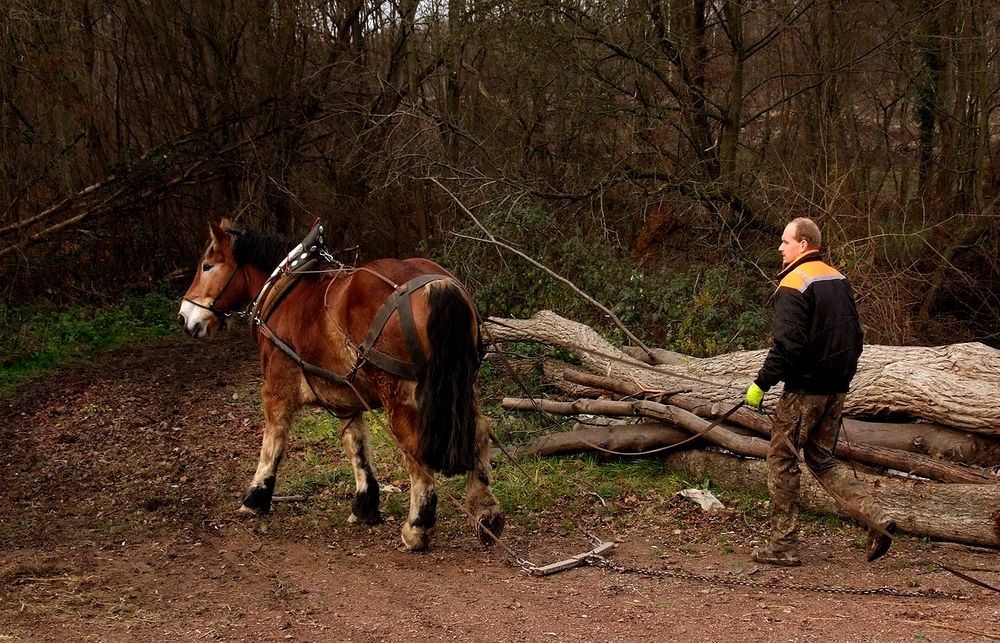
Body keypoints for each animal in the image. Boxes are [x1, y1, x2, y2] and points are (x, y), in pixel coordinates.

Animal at [177, 219, 504, 552]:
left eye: (207, 266)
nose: (184, 317)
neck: (284, 289)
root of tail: (437, 285)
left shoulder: (277, 387)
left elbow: (273, 442)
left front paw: (255, 498)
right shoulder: (346, 396)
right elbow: (355, 445)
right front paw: (365, 504)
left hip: (399, 393)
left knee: (415, 450)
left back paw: (417, 527)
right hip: (461, 384)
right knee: (479, 431)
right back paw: (486, 511)